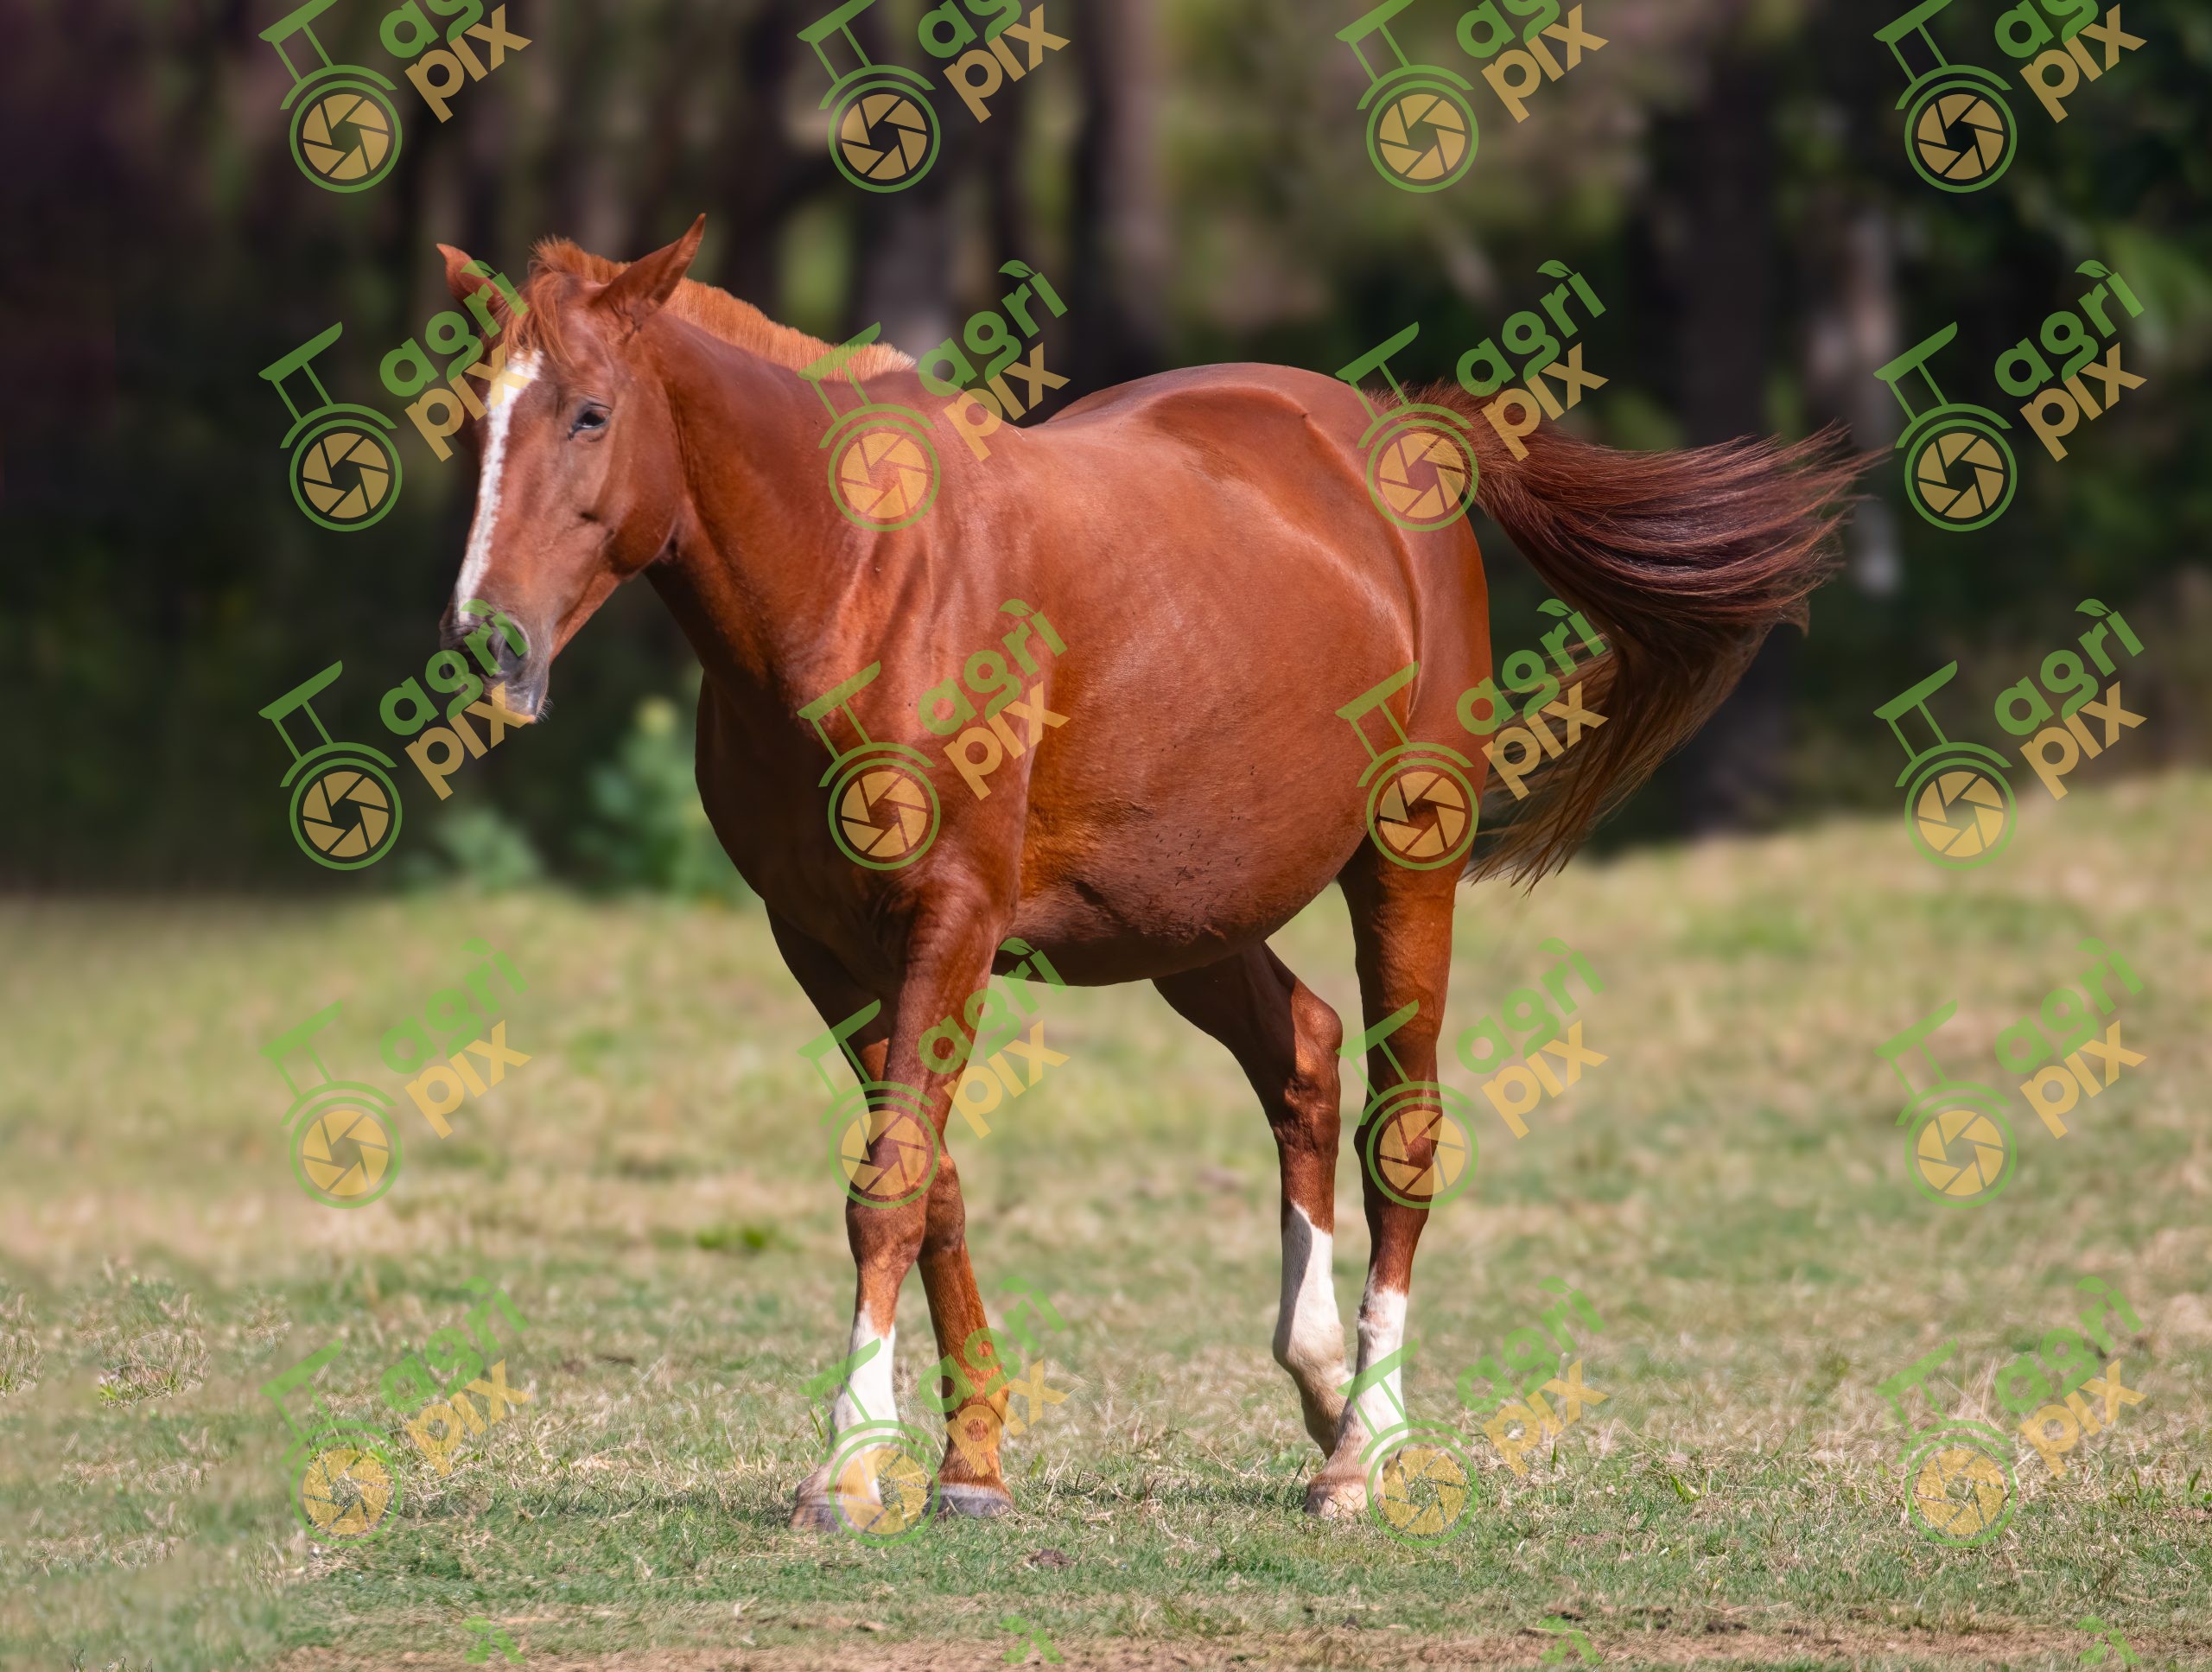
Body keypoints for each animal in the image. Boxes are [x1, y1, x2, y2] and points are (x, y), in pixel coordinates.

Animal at [426, 216, 1859, 1528]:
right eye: (475, 423)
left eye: (592, 411)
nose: (485, 636)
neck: (861, 583)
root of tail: (1395, 438)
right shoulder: (824, 941)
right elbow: (930, 1180)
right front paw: (967, 1459)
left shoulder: (950, 918)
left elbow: (887, 1185)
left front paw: (845, 1466)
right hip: (1187, 915)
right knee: (1302, 1050)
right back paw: (1321, 1377)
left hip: (1408, 858)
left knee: (1403, 1126)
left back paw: (1364, 1450)